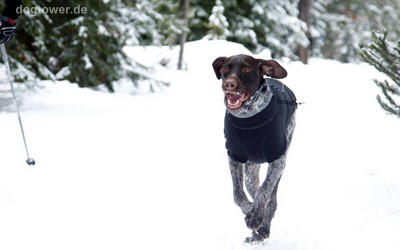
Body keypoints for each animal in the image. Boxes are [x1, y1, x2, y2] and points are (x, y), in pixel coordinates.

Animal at [212, 54, 296, 244]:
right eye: (225, 68)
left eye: (247, 68)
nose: (229, 84)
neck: (248, 118)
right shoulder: (234, 157)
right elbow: (238, 194)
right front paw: (249, 209)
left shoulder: (278, 160)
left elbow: (264, 191)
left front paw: (255, 216)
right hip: (251, 169)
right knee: (254, 189)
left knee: (271, 199)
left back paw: (263, 229)